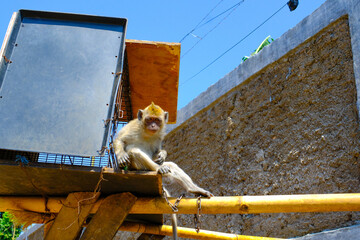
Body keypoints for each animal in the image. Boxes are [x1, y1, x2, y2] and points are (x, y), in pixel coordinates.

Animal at [114, 101, 212, 240]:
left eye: (157, 120)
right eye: (149, 119)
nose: (153, 125)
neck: (146, 132)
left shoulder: (159, 136)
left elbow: (157, 151)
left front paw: (162, 154)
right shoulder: (133, 128)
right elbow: (120, 140)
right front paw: (121, 155)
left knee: (172, 165)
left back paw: (192, 188)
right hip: (137, 167)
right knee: (134, 152)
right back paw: (160, 169)